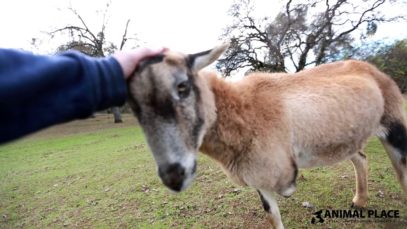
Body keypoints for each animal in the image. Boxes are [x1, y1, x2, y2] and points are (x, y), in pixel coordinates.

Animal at [127, 43, 407, 228]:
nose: (173, 175)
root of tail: (370, 68)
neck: (243, 107)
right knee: (361, 158)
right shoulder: (258, 177)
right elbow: (271, 214)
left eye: (183, 87)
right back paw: (359, 201)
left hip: (393, 124)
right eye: (134, 104)